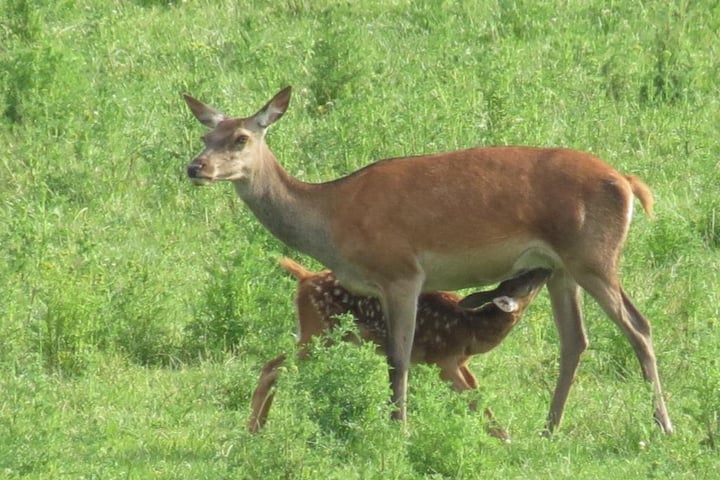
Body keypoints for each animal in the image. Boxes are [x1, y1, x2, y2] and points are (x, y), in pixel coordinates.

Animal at [245, 258, 548, 436]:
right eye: (524, 280)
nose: (544, 267)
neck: (473, 330)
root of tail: (305, 278)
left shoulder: (462, 364)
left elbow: (482, 400)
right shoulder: (441, 360)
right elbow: (473, 401)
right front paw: (508, 445)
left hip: (319, 334)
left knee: (276, 368)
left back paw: (259, 428)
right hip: (320, 333)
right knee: (273, 368)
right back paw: (252, 430)